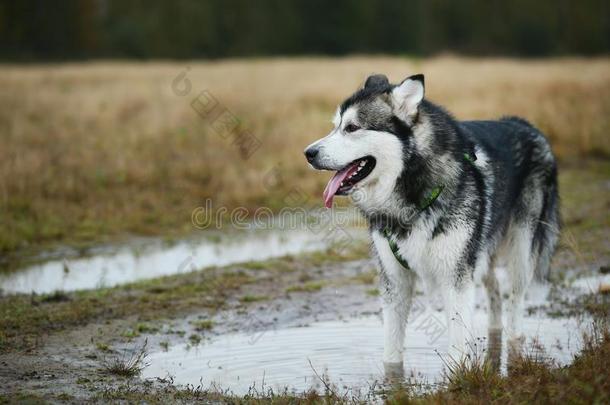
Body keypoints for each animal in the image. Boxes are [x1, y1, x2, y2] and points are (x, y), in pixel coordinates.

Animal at [302, 74, 556, 364]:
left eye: (352, 127)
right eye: (335, 127)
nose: (308, 153)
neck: (410, 193)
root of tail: (524, 124)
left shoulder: (455, 278)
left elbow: (457, 344)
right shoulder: (395, 281)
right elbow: (391, 350)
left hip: (520, 254)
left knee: (514, 302)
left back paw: (514, 344)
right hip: (480, 257)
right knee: (494, 295)